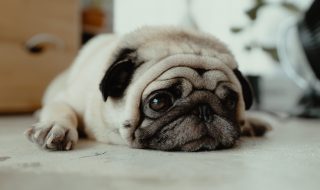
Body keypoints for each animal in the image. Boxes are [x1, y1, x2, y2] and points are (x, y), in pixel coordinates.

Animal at [25, 26, 270, 152]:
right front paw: (55, 126)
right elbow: (62, 109)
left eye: (230, 101)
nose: (204, 109)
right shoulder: (66, 99)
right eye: (158, 102)